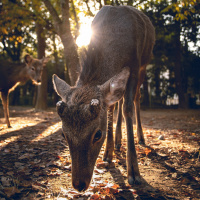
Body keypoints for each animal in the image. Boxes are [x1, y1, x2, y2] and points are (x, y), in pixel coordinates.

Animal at [52, 5, 155, 192]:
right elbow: (110, 108)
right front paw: (108, 154)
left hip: (145, 63)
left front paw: (134, 173)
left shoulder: (135, 64)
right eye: (63, 134)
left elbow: (128, 108)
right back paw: (117, 143)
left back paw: (141, 138)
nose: (79, 184)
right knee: (117, 101)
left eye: (97, 134)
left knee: (135, 98)